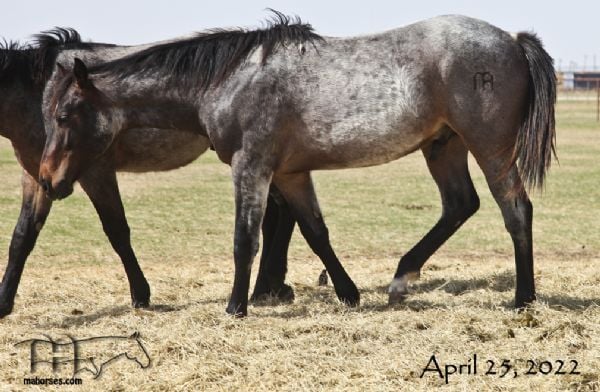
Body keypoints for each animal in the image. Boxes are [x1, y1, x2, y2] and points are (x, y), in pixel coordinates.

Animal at [1, 27, 318, 316]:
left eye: (64, 117)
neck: (39, 92)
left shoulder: (95, 173)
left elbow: (117, 231)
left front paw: (141, 294)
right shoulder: (38, 176)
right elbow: (22, 236)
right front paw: (4, 303)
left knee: (281, 215)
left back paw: (266, 287)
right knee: (278, 215)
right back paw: (270, 286)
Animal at [39, 13, 556, 318]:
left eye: (64, 116)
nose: (47, 179)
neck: (227, 79)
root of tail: (513, 40)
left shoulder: (251, 167)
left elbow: (245, 239)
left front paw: (235, 307)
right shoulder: (289, 173)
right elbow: (315, 232)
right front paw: (348, 294)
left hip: (488, 147)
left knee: (516, 211)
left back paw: (522, 299)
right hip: (444, 146)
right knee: (459, 205)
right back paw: (402, 277)